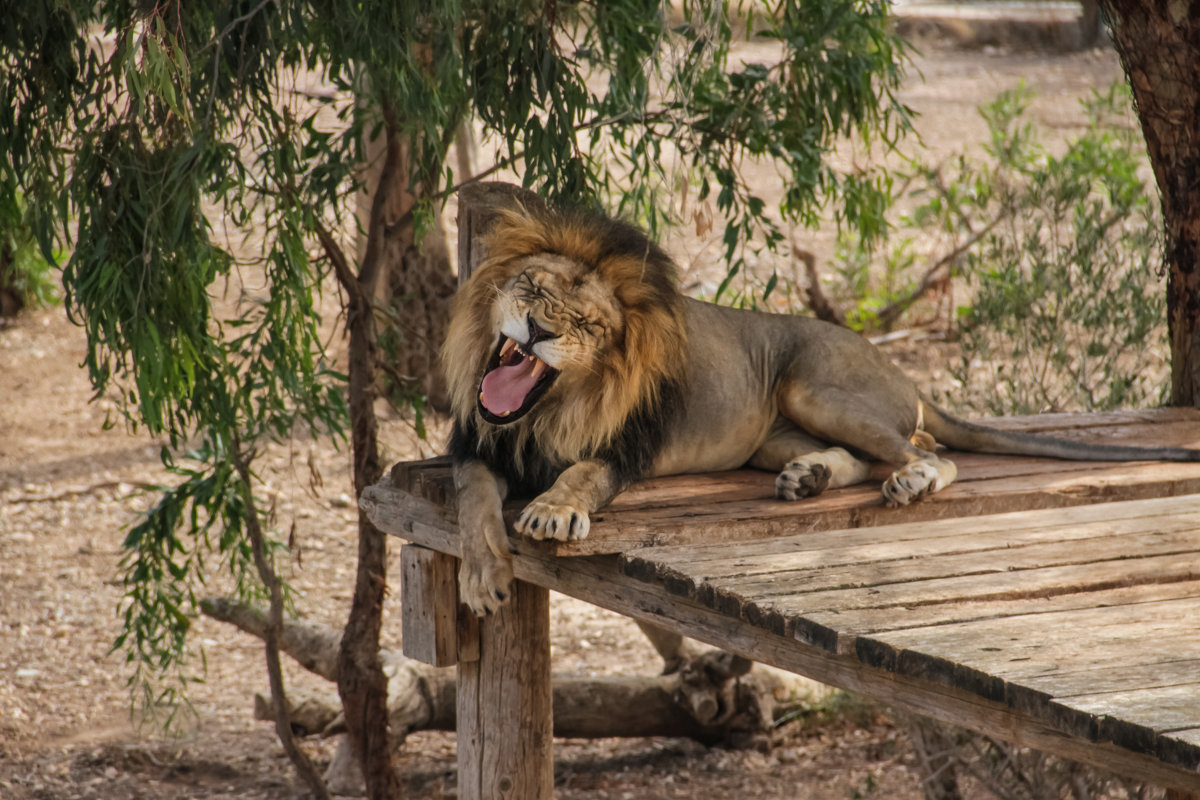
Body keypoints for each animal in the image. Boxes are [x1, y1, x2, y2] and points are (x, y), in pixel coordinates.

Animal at [446, 200, 1200, 614]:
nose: (538, 331)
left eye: (586, 324)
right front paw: (483, 578)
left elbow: (579, 474)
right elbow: (473, 502)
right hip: (774, 434)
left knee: (930, 454)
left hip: (811, 386)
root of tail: (901, 371)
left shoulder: (625, 451)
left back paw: (909, 483)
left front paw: (551, 510)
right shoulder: (474, 448)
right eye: (533, 291)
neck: (541, 413)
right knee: (865, 459)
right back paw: (809, 478)